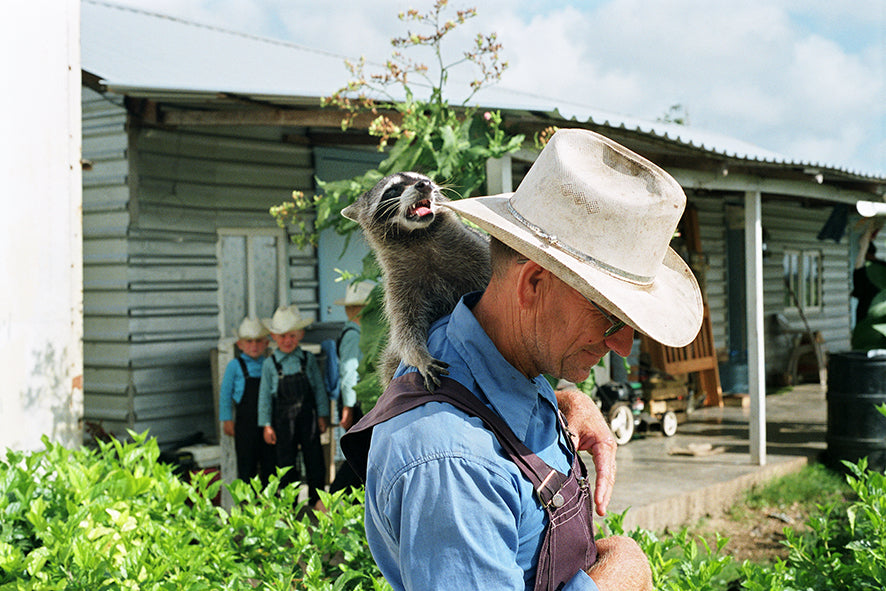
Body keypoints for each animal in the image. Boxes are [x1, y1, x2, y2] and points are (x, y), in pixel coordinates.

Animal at [342, 172, 492, 394]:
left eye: (423, 178)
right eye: (393, 189)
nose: (424, 184)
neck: (419, 237)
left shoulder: (478, 251)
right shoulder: (398, 284)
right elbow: (405, 330)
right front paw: (418, 354)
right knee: (389, 362)